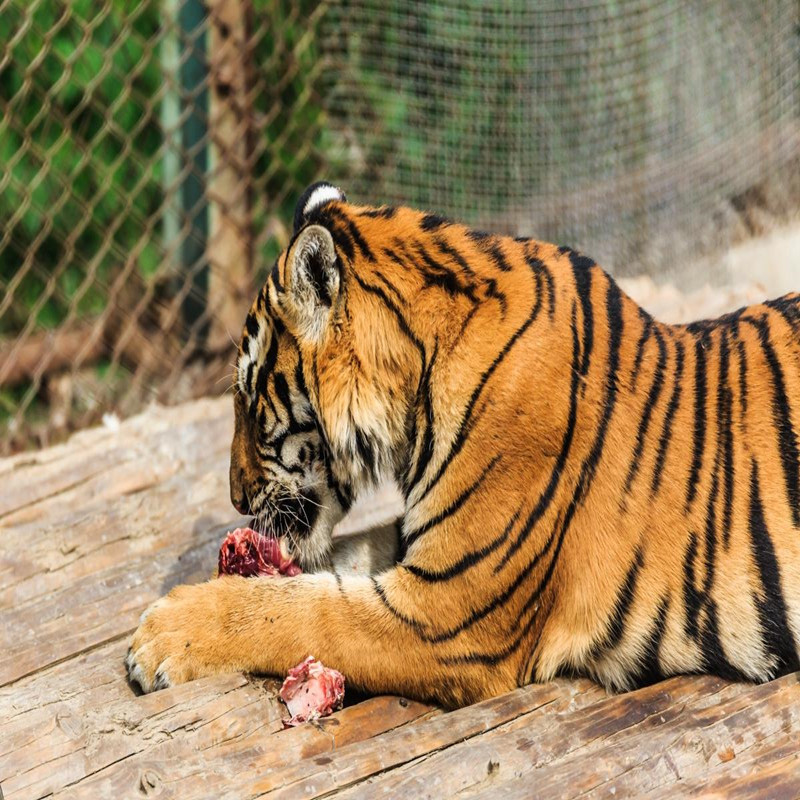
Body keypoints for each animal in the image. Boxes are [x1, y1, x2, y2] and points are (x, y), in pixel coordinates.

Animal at [127, 181, 800, 708]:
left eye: (247, 397)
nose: (236, 500)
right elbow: (328, 567)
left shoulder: (446, 612)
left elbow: (304, 611)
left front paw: (162, 632)